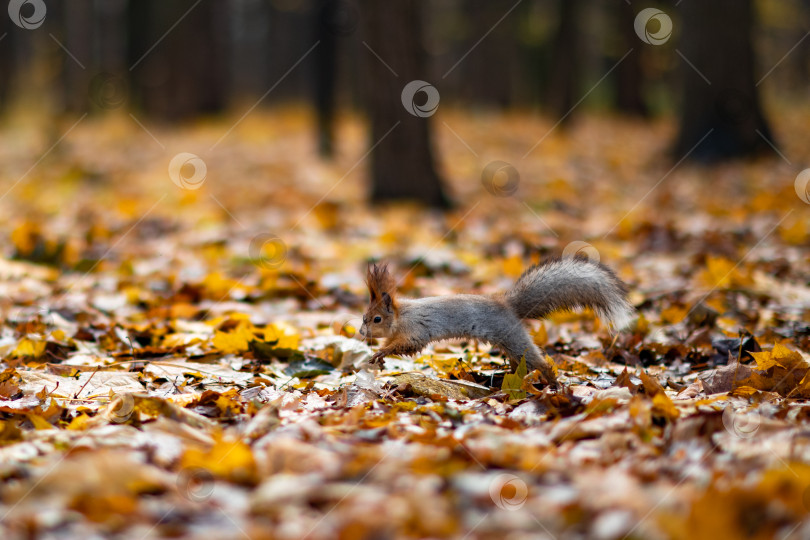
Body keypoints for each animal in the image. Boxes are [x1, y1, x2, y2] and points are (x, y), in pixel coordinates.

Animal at [358, 256, 632, 386]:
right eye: (363, 317)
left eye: (377, 319)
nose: (361, 332)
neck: (401, 315)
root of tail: (507, 305)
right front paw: (378, 357)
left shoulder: (415, 330)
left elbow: (405, 345)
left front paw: (380, 353)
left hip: (513, 337)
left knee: (539, 362)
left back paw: (553, 383)